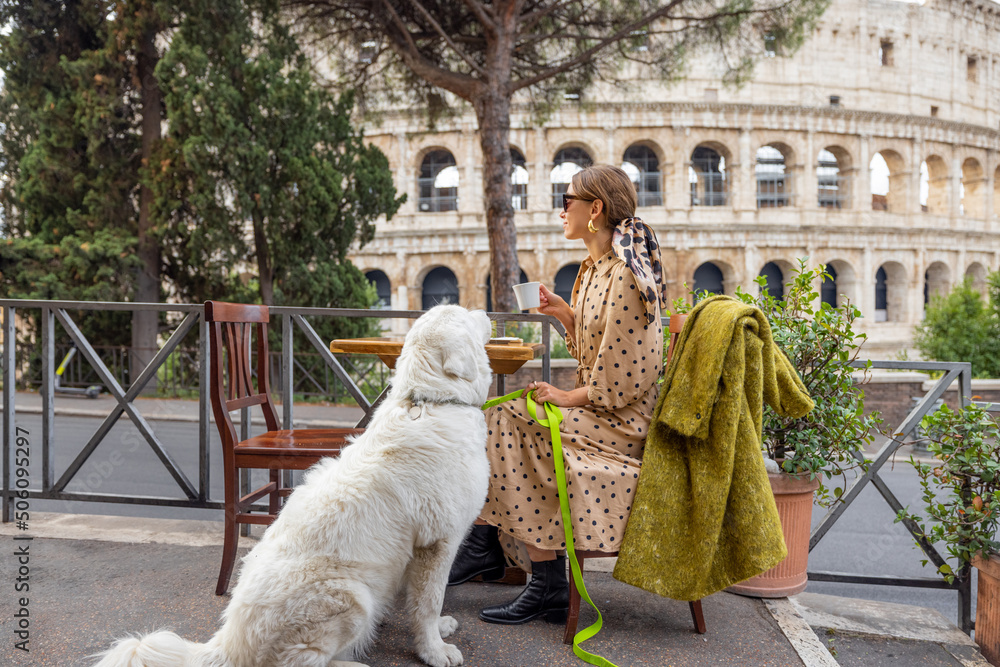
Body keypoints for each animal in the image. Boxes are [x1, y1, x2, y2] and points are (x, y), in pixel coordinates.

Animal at [95, 306, 494, 667]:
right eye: (463, 313)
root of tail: (228, 644)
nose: (486, 311)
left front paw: (440, 630)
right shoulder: (437, 543)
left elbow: (423, 603)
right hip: (350, 596)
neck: (432, 402)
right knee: (297, 662)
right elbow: (428, 602)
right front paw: (435, 652)